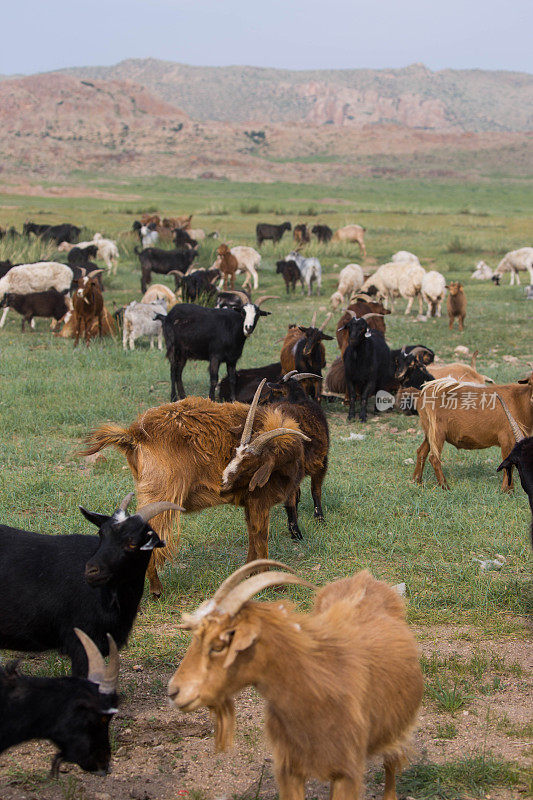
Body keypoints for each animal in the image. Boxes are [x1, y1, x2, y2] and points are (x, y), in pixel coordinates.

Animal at [81, 380, 310, 592]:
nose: (223, 484)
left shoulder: (250, 503)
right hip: (160, 494)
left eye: (251, 463)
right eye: (237, 456)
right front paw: (270, 583)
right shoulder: (259, 501)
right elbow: (261, 537)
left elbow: (252, 537)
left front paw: (247, 573)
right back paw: (156, 589)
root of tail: (135, 434)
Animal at [168, 560, 422, 800]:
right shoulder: (290, 769)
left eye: (218, 646)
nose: (173, 692)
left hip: (396, 729)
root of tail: (365, 577)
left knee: (391, 768)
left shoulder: (347, 771)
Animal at [266, 370, 328, 536]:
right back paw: (296, 532)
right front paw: (320, 518)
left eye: (276, 391)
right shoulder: (321, 462)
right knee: (290, 497)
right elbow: (316, 490)